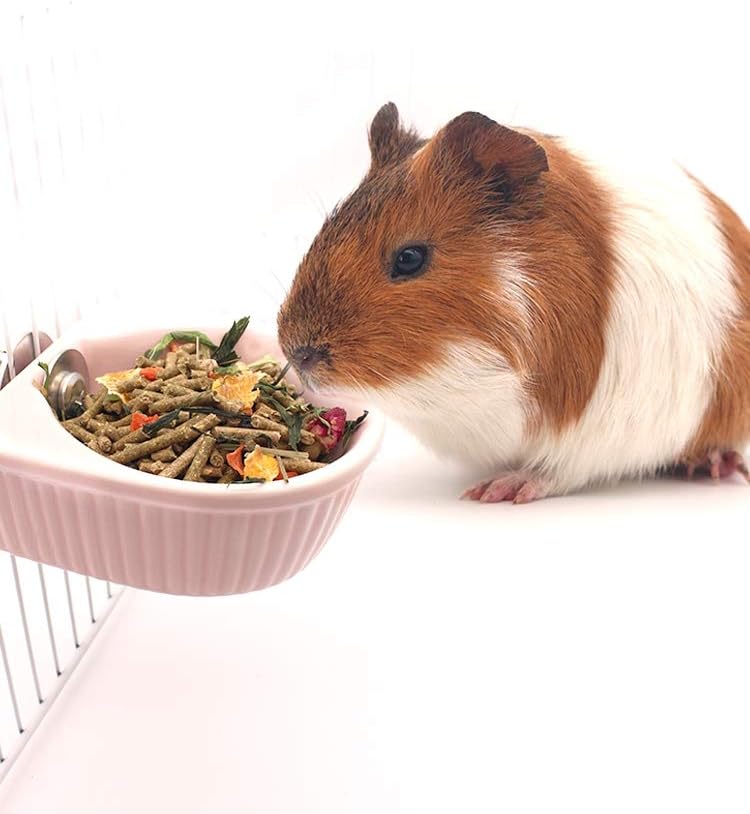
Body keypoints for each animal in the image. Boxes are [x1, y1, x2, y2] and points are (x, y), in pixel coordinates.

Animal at [277, 102, 750, 503]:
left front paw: (494, 492)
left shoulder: (597, 435)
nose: (297, 353)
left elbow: (555, 472)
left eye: (410, 258)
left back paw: (717, 467)